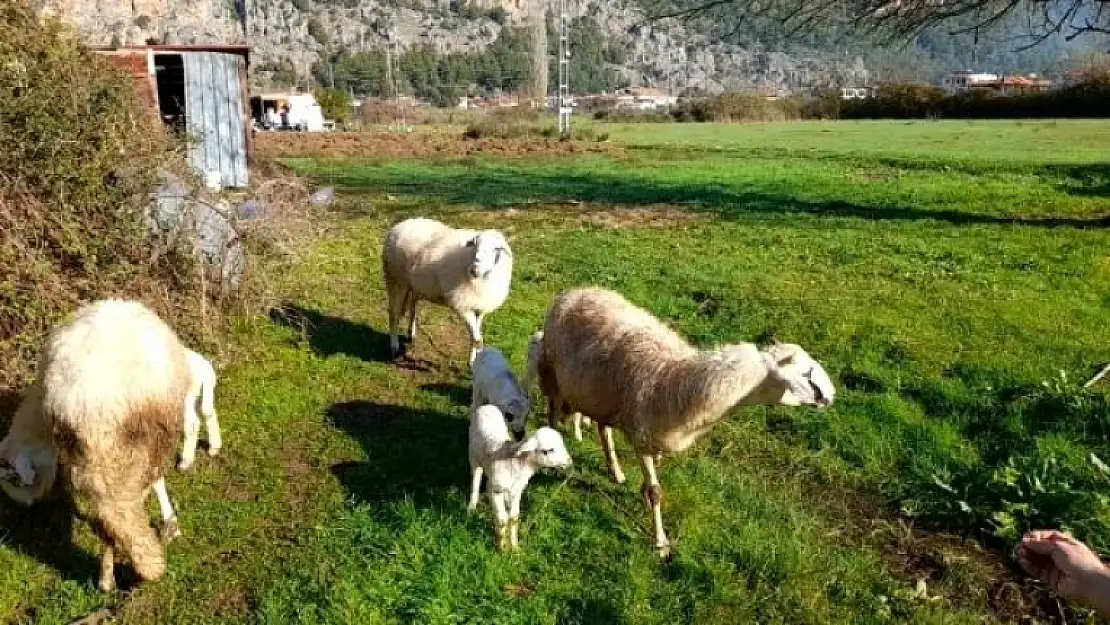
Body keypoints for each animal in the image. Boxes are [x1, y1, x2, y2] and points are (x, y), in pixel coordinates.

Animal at [0, 297, 190, 590]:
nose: (23, 505)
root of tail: (90, 404)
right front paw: (169, 523)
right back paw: (126, 570)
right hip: (123, 451)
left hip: (102, 455)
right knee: (119, 511)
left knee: (113, 510)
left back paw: (110, 575)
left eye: (13, 479)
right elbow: (154, 483)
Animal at [381, 217, 510, 364]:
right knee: (394, 314)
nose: (474, 269)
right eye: (475, 245)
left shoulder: (479, 308)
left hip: (414, 284)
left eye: (496, 249)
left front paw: (474, 361)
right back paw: (394, 347)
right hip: (395, 279)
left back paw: (411, 333)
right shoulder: (462, 305)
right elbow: (477, 338)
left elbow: (475, 337)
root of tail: (398, 226)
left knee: (412, 305)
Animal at [468, 404, 572, 550]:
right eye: (548, 450)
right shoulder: (494, 489)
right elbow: (502, 519)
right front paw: (502, 548)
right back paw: (471, 506)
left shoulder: (517, 491)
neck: (515, 463)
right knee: (475, 480)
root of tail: (486, 406)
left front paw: (515, 547)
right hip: (473, 456)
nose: (569, 461)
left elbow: (513, 518)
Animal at [532, 288, 834, 557]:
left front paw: (642, 498)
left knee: (603, 428)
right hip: (553, 375)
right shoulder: (642, 438)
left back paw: (615, 471)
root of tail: (576, 291)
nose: (830, 396)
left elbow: (650, 482)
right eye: (807, 374)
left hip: (598, 393)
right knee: (553, 415)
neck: (679, 380)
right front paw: (661, 543)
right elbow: (656, 491)